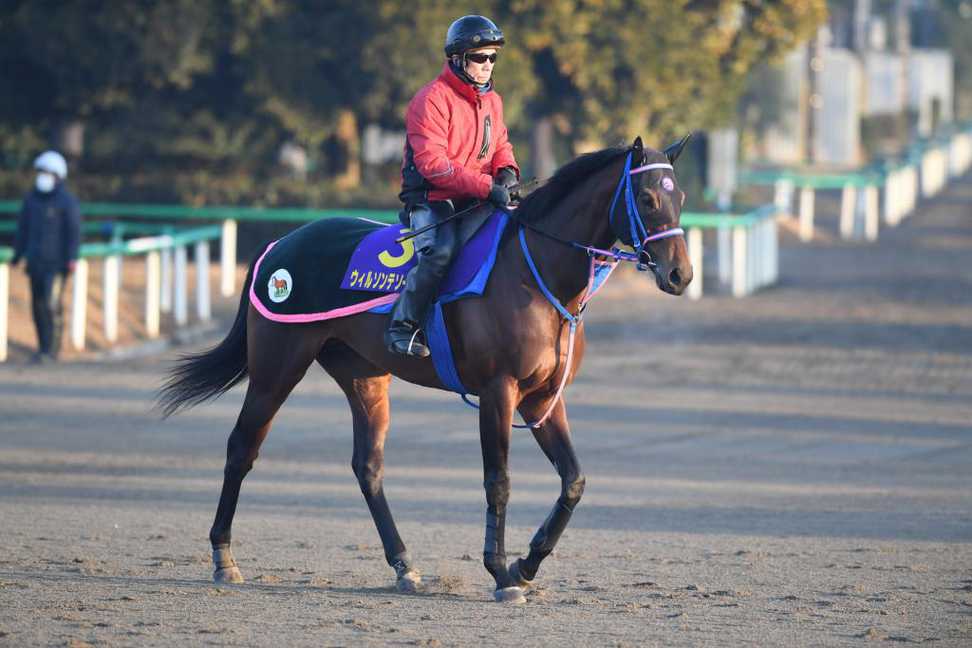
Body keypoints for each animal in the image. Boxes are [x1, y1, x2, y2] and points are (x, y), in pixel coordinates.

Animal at [158, 134, 692, 604]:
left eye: (680, 196)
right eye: (647, 198)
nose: (680, 274)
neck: (533, 273)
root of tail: (279, 244)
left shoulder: (542, 398)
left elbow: (574, 481)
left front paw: (526, 563)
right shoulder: (498, 392)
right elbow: (498, 481)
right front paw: (501, 574)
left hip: (365, 378)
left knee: (367, 467)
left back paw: (404, 566)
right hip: (277, 367)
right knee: (241, 449)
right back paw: (224, 559)